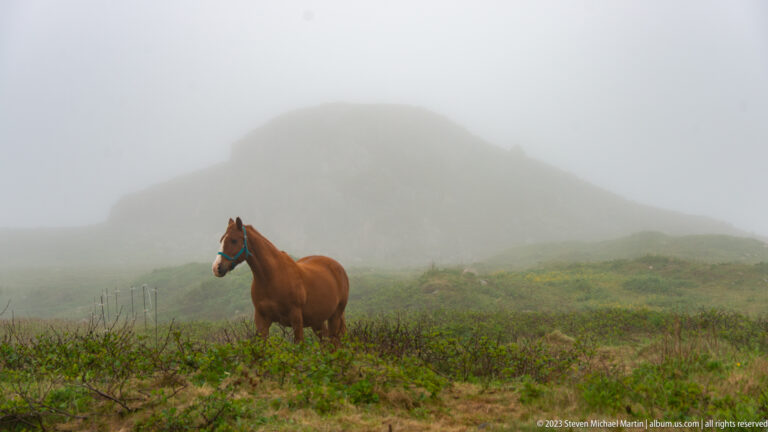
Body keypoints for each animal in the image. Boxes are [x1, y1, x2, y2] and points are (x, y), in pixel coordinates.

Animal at [212, 217, 349, 343]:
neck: (272, 277)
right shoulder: (262, 320)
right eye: (221, 240)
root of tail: (338, 267)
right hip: (317, 320)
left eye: (234, 240)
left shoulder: (296, 319)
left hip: (334, 317)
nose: (216, 268)